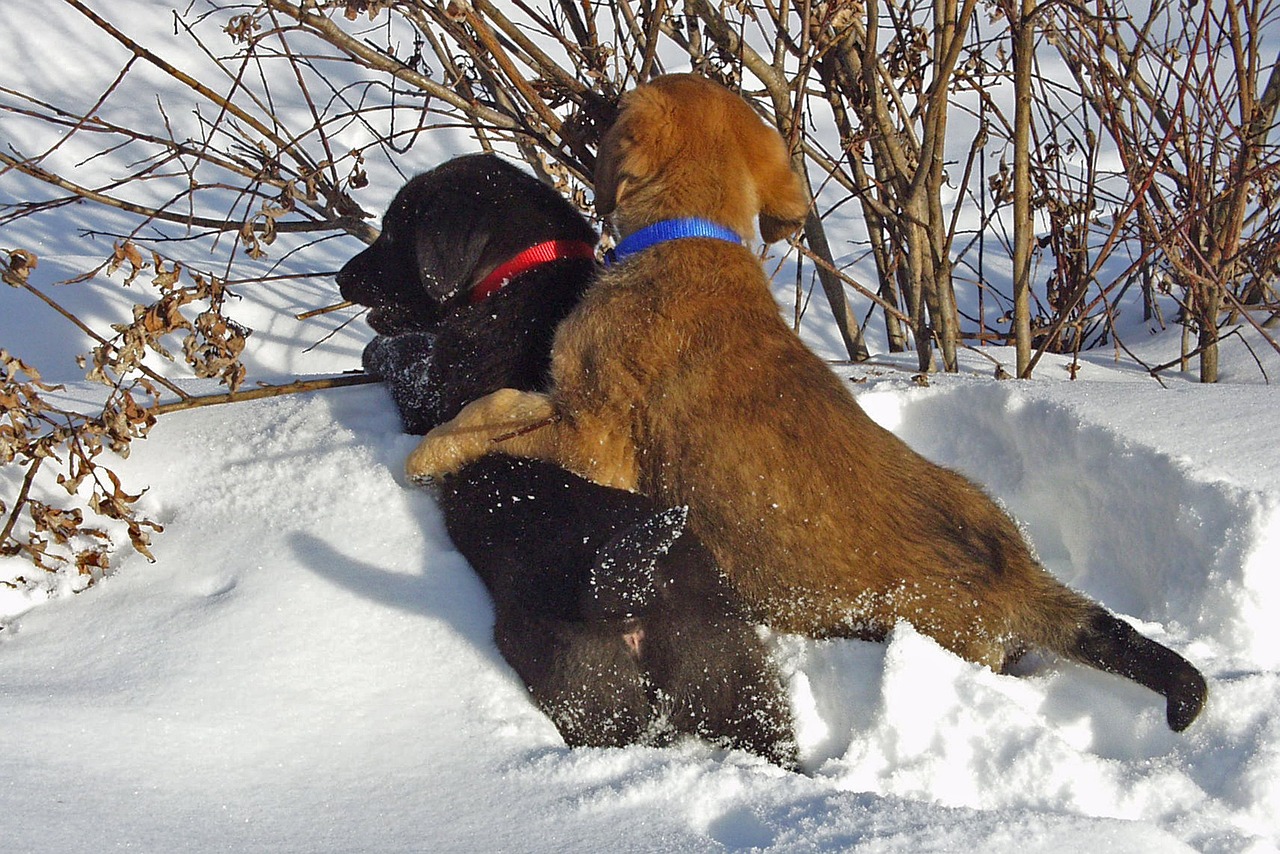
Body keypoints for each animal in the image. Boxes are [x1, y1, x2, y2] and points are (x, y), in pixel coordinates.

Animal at [340, 151, 798, 768]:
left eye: (394, 233)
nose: (341, 277)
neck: (519, 270)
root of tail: (629, 591)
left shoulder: (432, 394)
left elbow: (406, 360)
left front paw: (375, 351)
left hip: (584, 689)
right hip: (736, 681)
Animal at [409, 73, 1208, 732]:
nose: (588, 104)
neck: (692, 239)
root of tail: (1021, 578)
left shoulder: (595, 435)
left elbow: (495, 420)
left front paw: (426, 454)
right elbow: (502, 404)